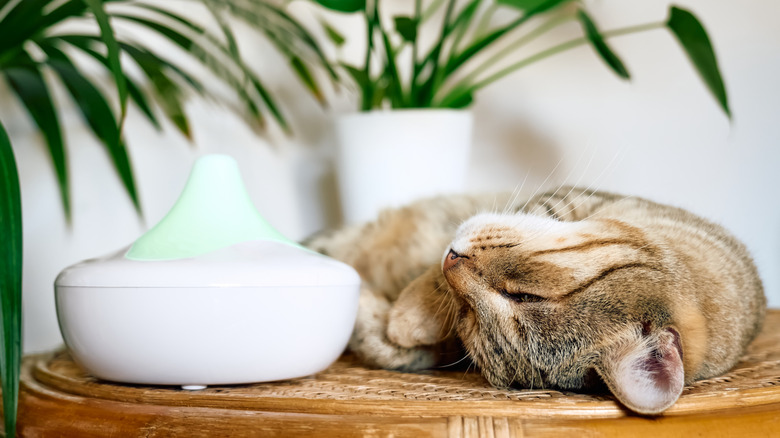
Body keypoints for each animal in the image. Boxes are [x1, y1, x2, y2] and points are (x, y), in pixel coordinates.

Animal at [306, 187, 768, 414]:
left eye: (470, 320)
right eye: (524, 294)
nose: (451, 261)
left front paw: (402, 320)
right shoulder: (568, 196)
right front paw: (410, 312)